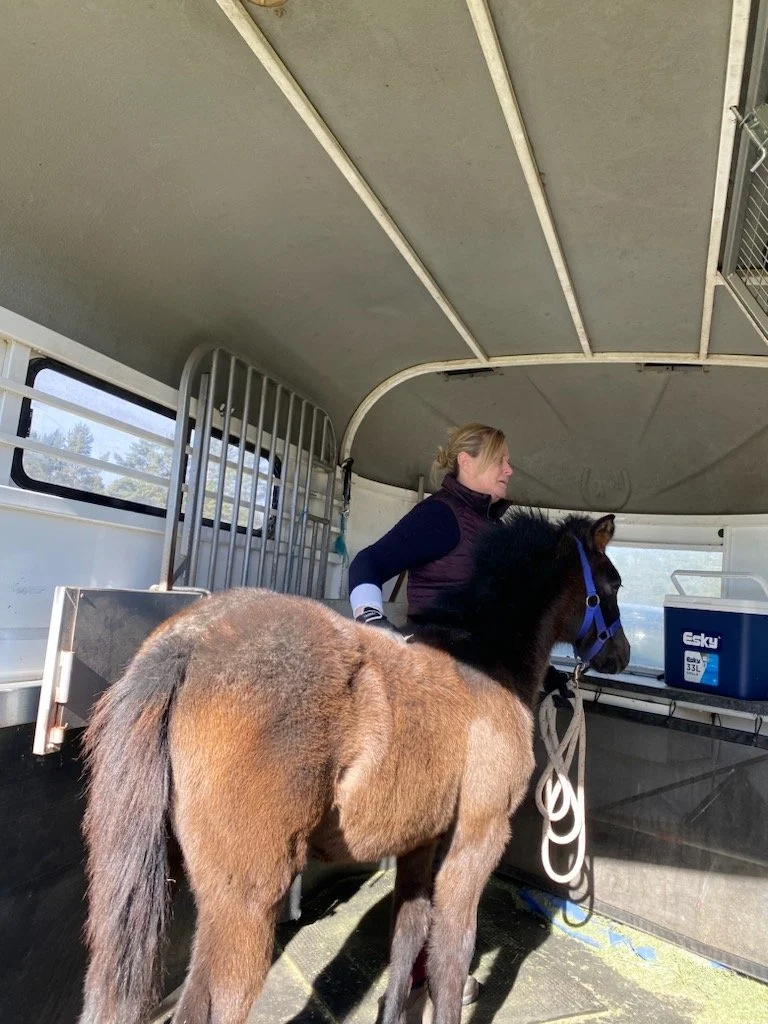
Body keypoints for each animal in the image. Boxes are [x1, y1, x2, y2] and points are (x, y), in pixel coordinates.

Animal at [78, 510, 629, 1024]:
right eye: (613, 583)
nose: (621, 655)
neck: (485, 667)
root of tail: (193, 639)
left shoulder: (420, 841)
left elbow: (407, 935)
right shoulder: (479, 836)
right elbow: (451, 954)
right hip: (245, 900)